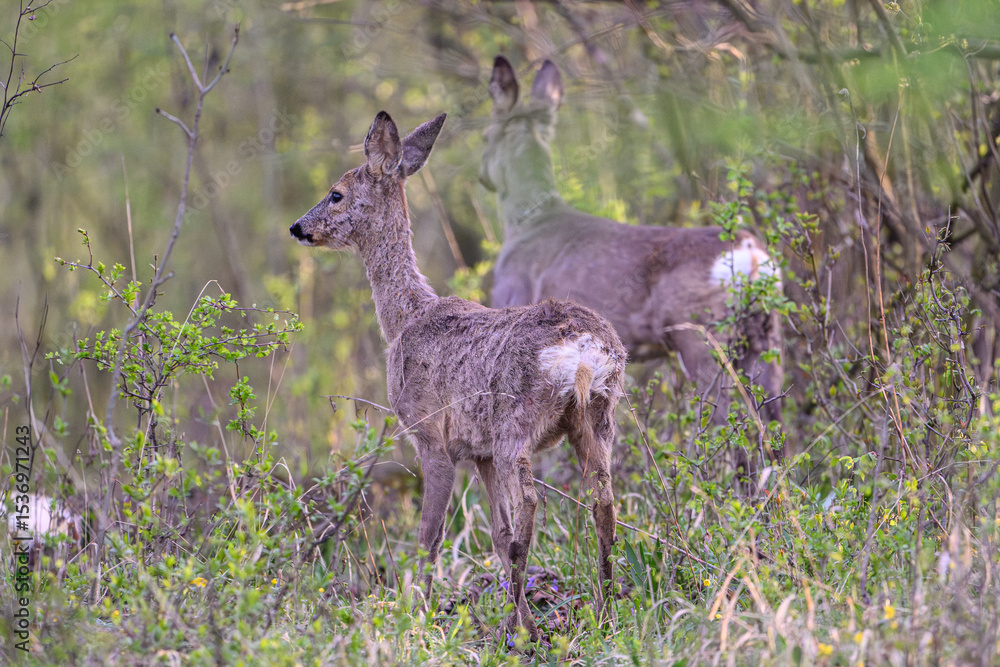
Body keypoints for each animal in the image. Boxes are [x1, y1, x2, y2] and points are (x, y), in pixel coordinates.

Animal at [289, 111, 627, 641]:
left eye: (337, 193)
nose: (298, 227)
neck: (405, 319)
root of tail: (586, 351)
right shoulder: (479, 453)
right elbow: (498, 532)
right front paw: (518, 617)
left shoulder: (430, 435)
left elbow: (430, 534)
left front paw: (416, 616)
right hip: (596, 416)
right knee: (604, 503)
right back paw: (604, 611)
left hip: (516, 424)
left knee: (533, 502)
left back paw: (529, 625)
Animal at [480, 56, 785, 462]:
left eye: (485, 136)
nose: (482, 174)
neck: (528, 220)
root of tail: (749, 252)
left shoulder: (512, 307)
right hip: (767, 335)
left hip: (702, 334)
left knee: (731, 421)